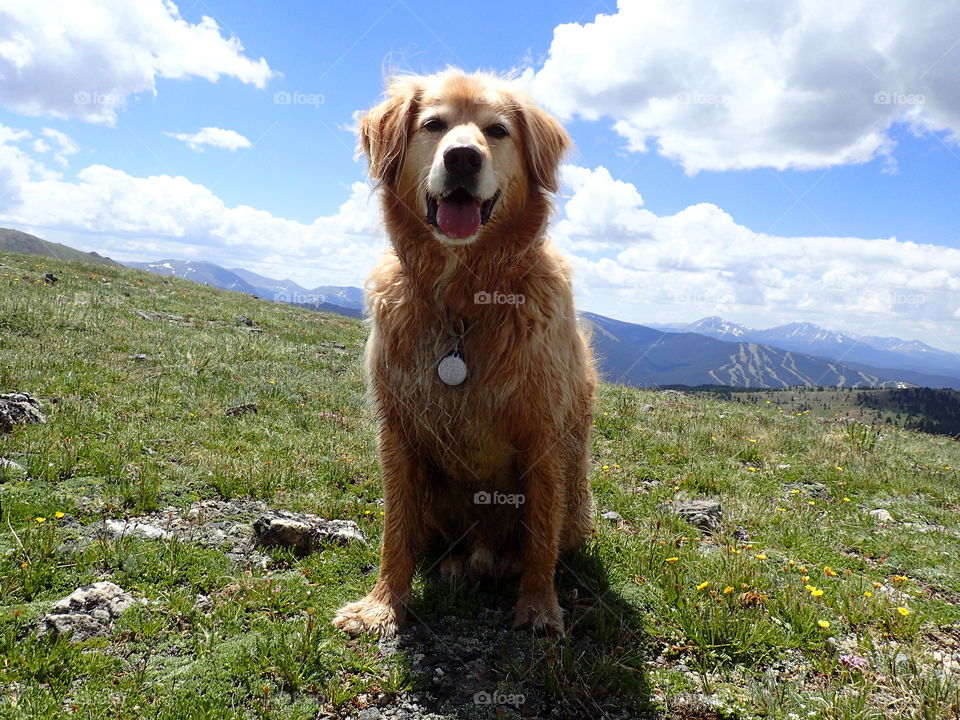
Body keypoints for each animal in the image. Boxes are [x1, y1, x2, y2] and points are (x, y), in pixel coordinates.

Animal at [334, 69, 596, 636]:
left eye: (497, 131)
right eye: (434, 124)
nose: (462, 158)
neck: (464, 300)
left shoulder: (543, 432)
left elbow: (539, 536)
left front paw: (539, 608)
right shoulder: (398, 430)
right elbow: (396, 532)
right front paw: (382, 605)